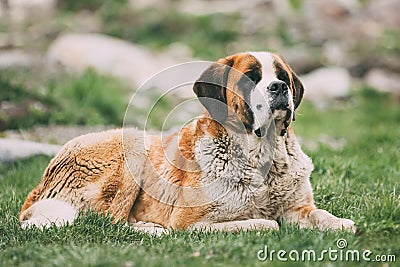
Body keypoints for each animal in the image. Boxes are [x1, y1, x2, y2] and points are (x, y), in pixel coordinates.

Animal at [18, 51, 356, 233]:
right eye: (251, 77)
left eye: (282, 76)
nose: (279, 88)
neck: (260, 157)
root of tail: (38, 186)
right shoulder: (190, 223)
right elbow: (263, 223)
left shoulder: (298, 207)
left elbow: (320, 214)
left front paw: (342, 224)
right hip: (133, 145)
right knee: (110, 221)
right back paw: (150, 230)